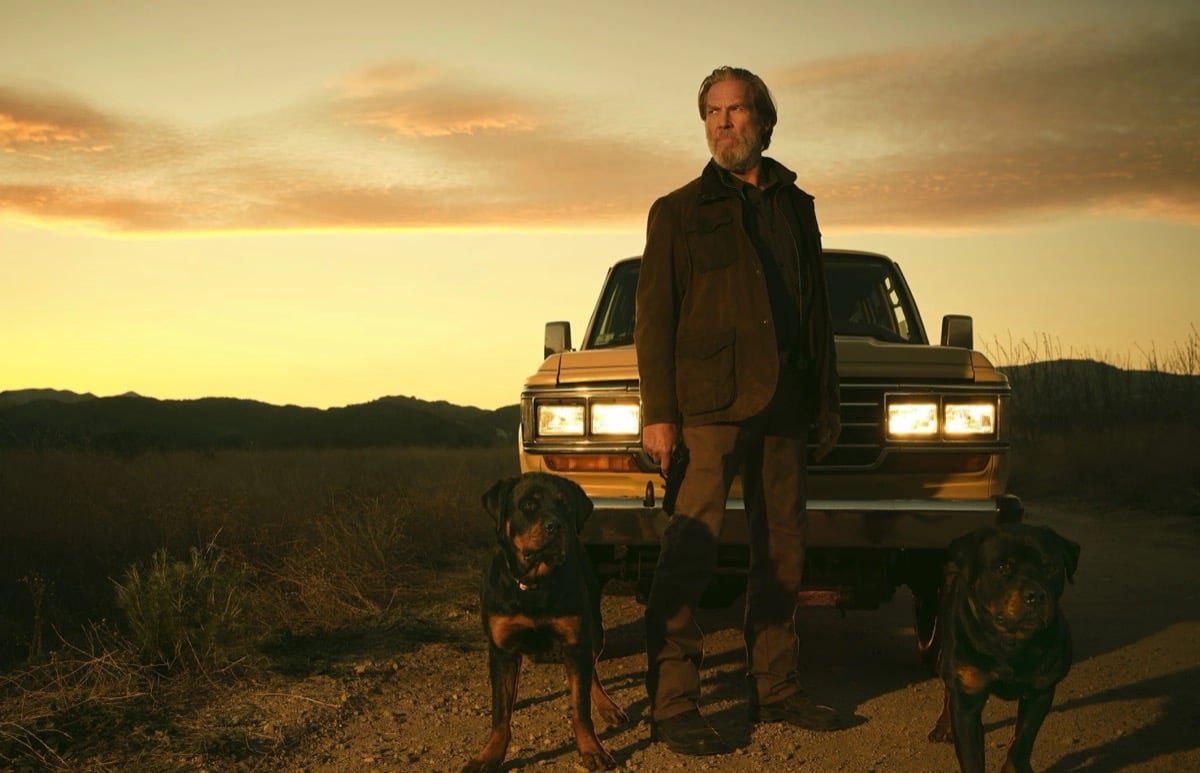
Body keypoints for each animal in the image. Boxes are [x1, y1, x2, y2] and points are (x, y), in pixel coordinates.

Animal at [463, 470, 628, 773]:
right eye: (528, 505)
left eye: (565, 505)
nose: (556, 526)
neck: (534, 583)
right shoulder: (502, 650)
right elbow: (500, 714)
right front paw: (489, 755)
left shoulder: (575, 642)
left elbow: (580, 707)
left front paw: (592, 749)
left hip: (595, 631)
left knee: (592, 670)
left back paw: (607, 705)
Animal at [931, 523, 1084, 768]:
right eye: (1002, 568)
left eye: (1051, 568)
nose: (1035, 594)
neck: (1011, 642)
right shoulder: (967, 704)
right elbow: (972, 757)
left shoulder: (1039, 692)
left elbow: (1022, 742)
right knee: (947, 687)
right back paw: (944, 726)